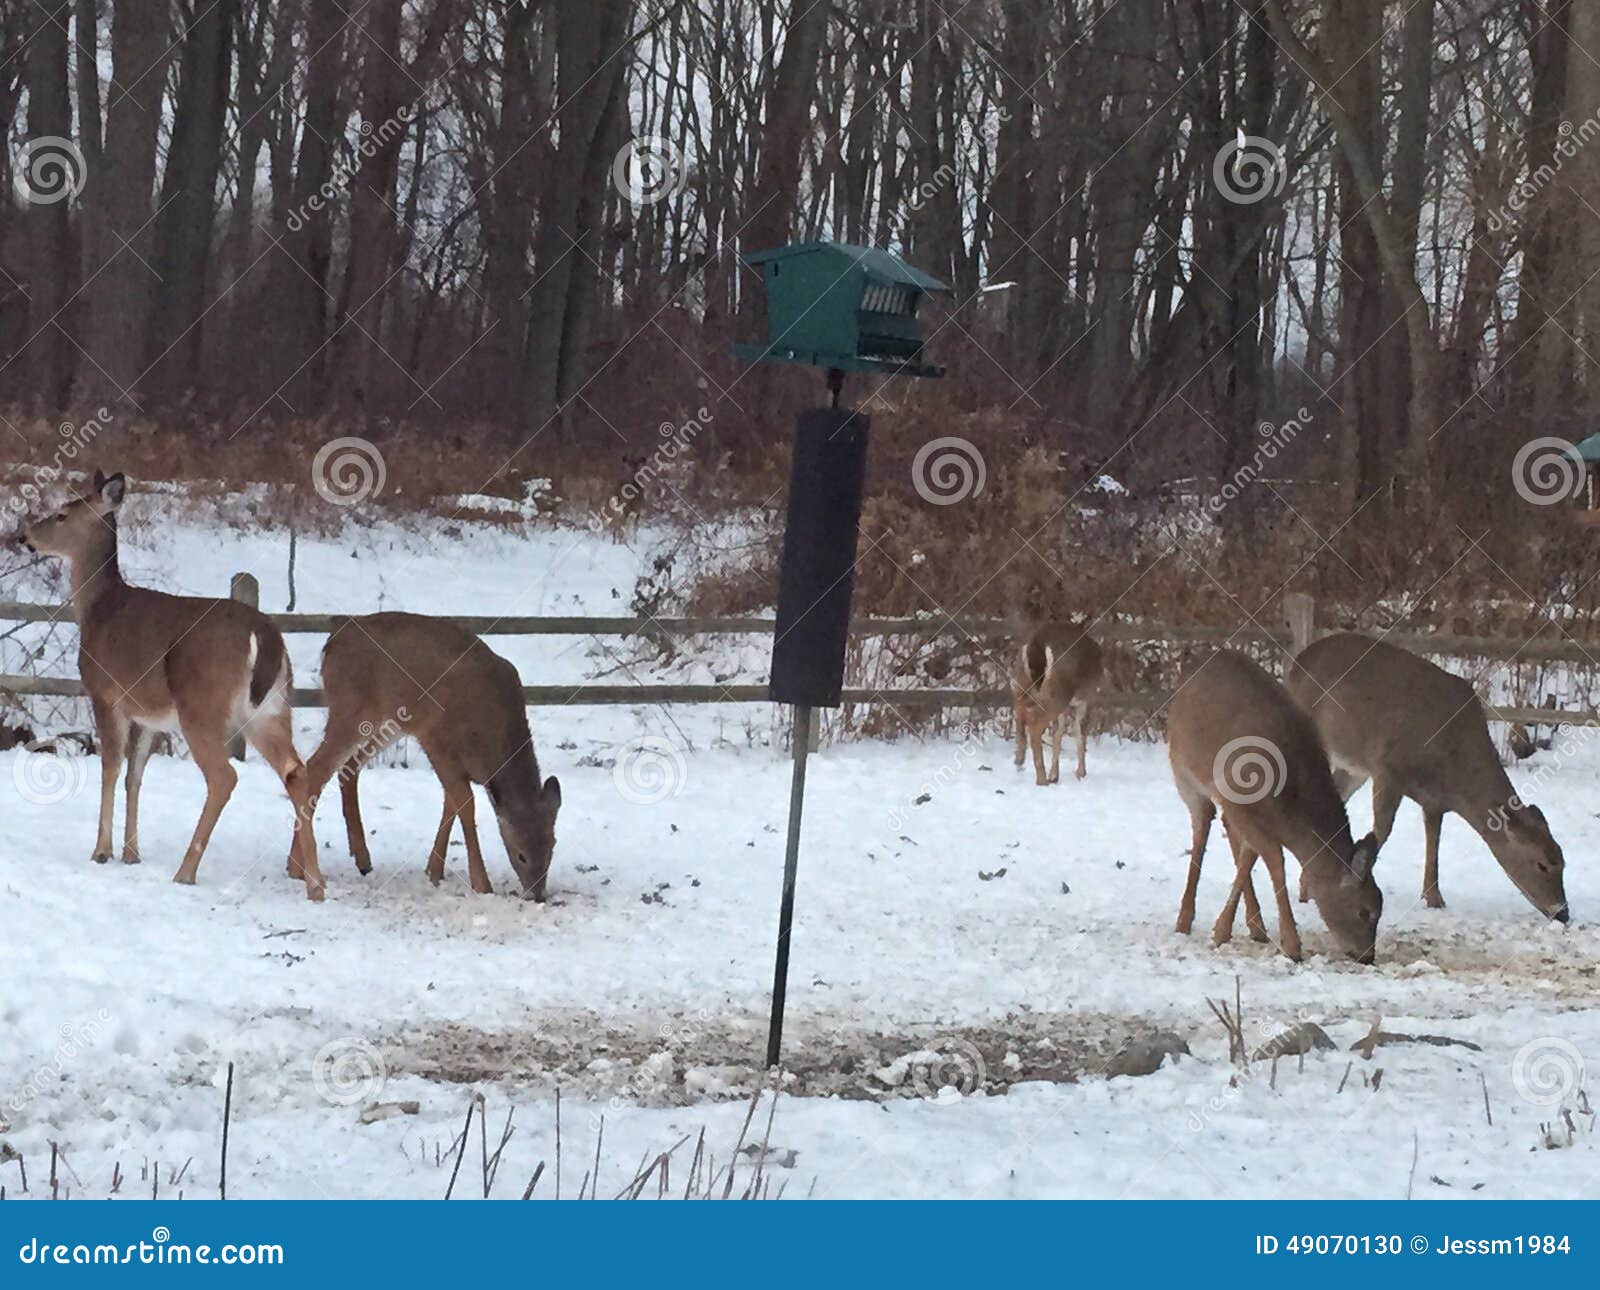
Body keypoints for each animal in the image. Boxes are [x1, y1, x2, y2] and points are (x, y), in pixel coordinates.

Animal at [15, 471, 323, 899]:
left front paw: (101, 851)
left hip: (202, 705)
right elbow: (135, 775)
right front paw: (131, 853)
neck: (95, 610)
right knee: (297, 772)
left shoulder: (105, 693)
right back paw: (315, 885)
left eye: (62, 514)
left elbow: (111, 768)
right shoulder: (149, 714)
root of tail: (265, 636)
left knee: (224, 777)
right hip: (272, 707)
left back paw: (185, 871)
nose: (23, 536)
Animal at [297, 612, 561, 899]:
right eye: (521, 854)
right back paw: (300, 870)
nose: (537, 894)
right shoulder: (434, 738)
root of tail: (332, 641)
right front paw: (481, 883)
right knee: (315, 767)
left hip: (385, 724)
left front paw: (434, 871)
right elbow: (464, 802)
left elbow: (451, 803)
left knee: (348, 766)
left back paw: (361, 859)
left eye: (552, 847)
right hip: (349, 710)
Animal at [1009, 625, 1103, 785]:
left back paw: (1019, 761)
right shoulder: (1085, 701)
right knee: (1034, 724)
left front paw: (1054, 775)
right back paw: (1041, 779)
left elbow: (1058, 734)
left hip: (1022, 683)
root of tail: (1037, 644)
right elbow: (1080, 734)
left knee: (1020, 714)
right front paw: (1081, 773)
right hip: (1058, 693)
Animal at [1167, 650, 1382, 963]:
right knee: (1201, 828)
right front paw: (1292, 945)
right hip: (1183, 772)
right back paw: (1183, 920)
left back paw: (1254, 926)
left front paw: (1229, 929)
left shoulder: (1252, 814)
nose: (1367, 955)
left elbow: (1249, 857)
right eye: (1364, 912)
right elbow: (1274, 859)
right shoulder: (1239, 801)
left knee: (1227, 830)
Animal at [1285, 633, 1569, 922]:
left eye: (1563, 861)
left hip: (1353, 767)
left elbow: (1434, 841)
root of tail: (1297, 663)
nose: (1563, 913)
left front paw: (1434, 898)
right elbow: (1380, 833)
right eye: (1541, 865)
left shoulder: (1434, 800)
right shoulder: (1387, 769)